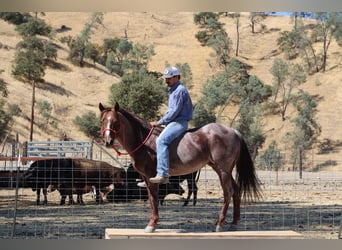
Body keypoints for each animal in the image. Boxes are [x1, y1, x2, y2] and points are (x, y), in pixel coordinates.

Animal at [99, 101, 262, 232]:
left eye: (115, 121)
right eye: (102, 121)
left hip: (223, 171)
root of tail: (234, 131)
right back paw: (234, 223)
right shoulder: (146, 177)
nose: (107, 141)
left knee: (228, 192)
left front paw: (152, 225)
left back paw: (219, 223)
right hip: (223, 170)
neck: (144, 141)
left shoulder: (151, 176)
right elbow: (151, 198)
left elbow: (154, 198)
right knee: (236, 190)